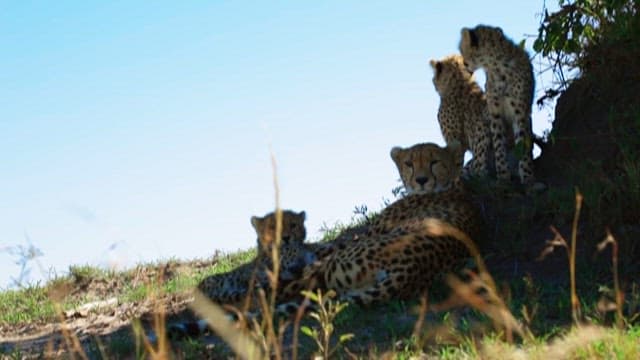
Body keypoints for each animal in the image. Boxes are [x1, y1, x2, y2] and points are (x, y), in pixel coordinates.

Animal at [278, 142, 482, 308]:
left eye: (435, 162)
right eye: (409, 163)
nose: (421, 180)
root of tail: (410, 270)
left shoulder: (365, 235)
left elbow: (324, 247)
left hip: (334, 265)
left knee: (297, 282)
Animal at [460, 24, 536, 186]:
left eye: (462, 49)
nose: (464, 63)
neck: (497, 66)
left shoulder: (520, 112)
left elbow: (522, 144)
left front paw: (527, 177)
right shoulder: (494, 112)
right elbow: (498, 144)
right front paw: (503, 177)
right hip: (482, 124)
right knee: (476, 164)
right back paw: (480, 175)